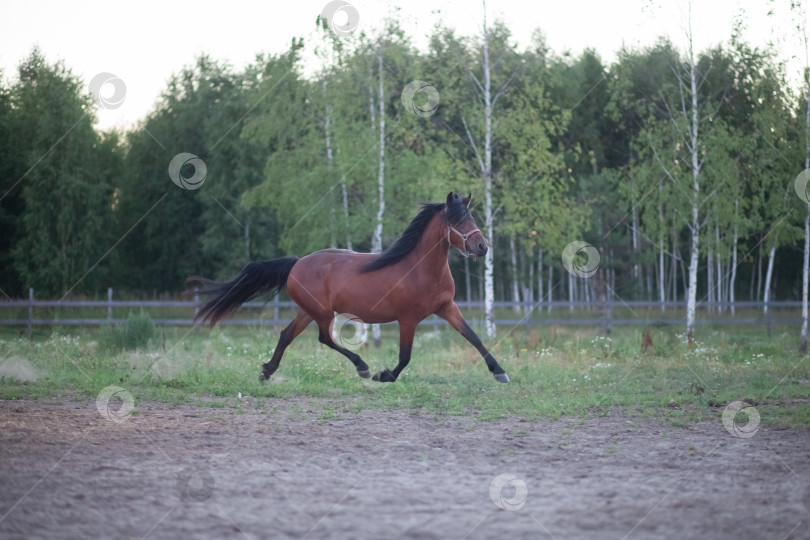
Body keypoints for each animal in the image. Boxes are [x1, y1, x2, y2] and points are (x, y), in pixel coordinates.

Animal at [189, 193, 504, 384]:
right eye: (456, 220)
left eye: (472, 218)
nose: (482, 247)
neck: (421, 270)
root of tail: (297, 263)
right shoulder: (408, 319)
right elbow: (405, 356)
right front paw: (384, 375)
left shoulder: (447, 308)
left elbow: (474, 337)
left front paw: (499, 372)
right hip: (322, 312)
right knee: (324, 338)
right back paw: (362, 367)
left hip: (308, 311)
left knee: (287, 335)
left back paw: (267, 371)